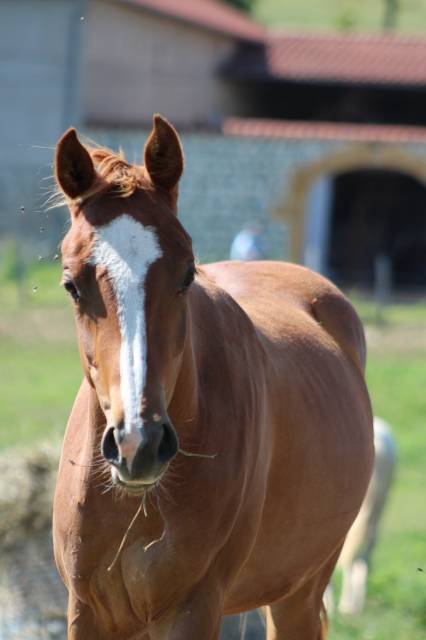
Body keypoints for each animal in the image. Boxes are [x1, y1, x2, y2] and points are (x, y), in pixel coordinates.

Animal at [52, 114, 374, 640]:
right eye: (71, 284)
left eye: (187, 274)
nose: (138, 444)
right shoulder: (88, 611)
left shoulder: (193, 608)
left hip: (299, 595)